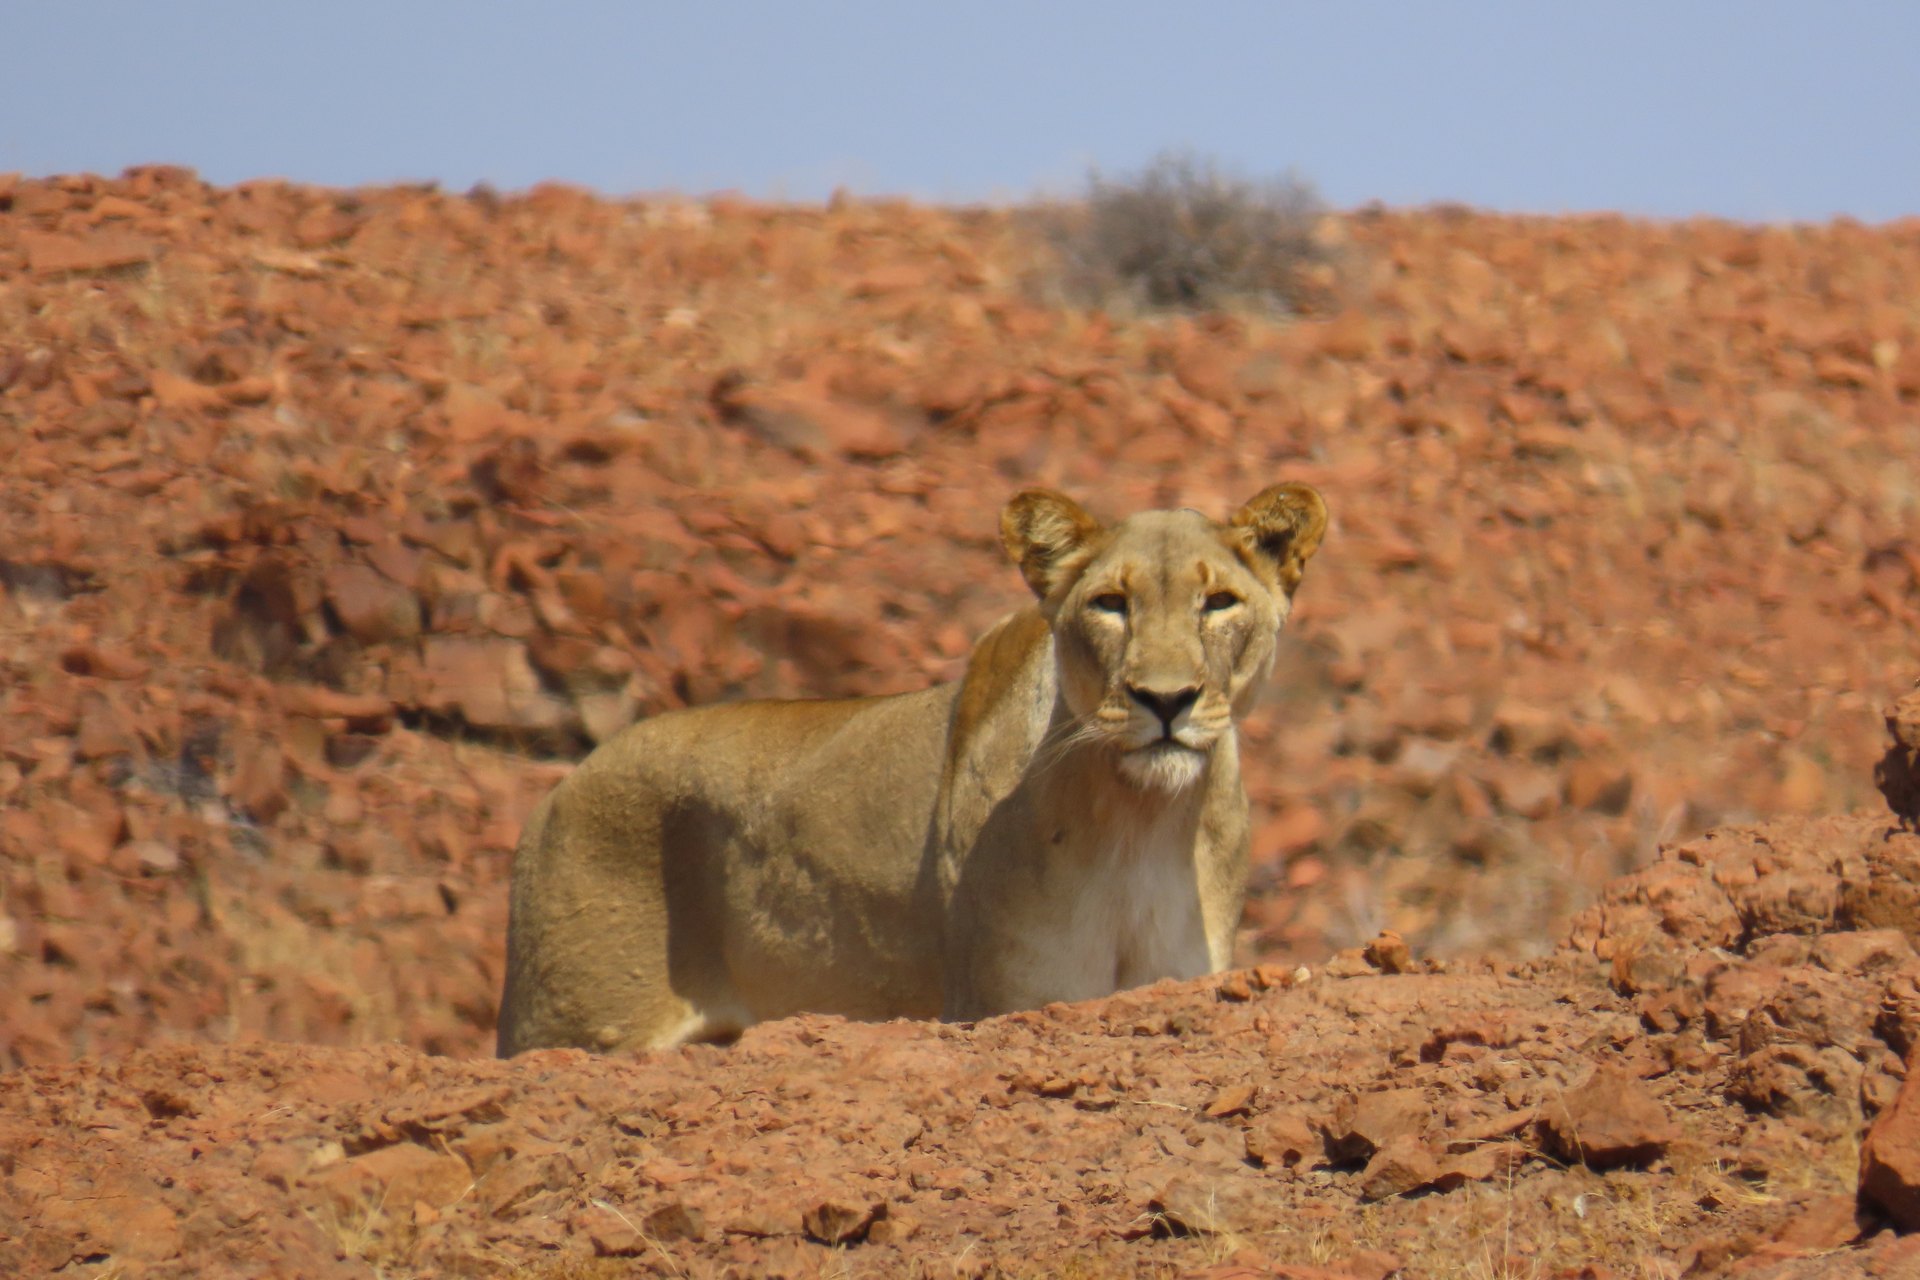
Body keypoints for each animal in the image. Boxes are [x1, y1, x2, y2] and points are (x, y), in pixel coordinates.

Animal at [497, 484, 1328, 1055]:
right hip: (575, 1020)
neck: (1141, 820)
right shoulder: (1010, 994)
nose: (1166, 699)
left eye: (1218, 602)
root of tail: (557, 794)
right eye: (1110, 604)